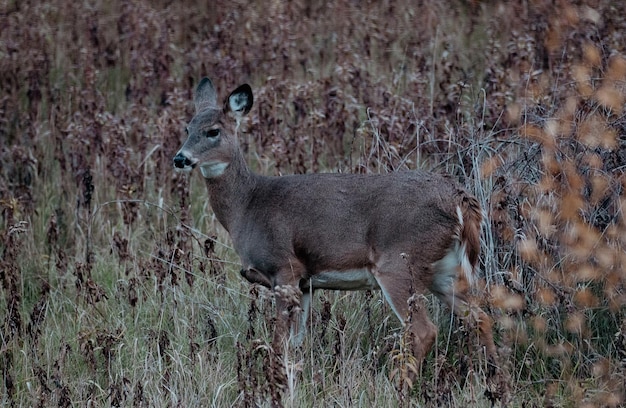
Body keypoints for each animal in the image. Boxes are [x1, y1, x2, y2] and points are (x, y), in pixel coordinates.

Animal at [173, 76, 494, 370]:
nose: (180, 158)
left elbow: (279, 340)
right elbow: (295, 341)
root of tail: (458, 197)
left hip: (400, 262)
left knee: (424, 330)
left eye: (213, 131)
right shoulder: (305, 283)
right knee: (480, 317)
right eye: (187, 129)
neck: (248, 205)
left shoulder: (284, 267)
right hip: (445, 270)